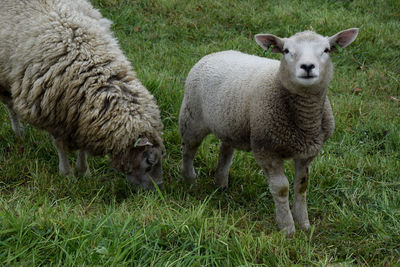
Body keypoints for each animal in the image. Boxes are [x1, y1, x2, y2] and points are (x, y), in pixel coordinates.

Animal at [0, 0, 164, 191]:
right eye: (149, 163)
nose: (158, 189)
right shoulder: (53, 112)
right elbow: (60, 145)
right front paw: (67, 174)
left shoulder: (80, 115)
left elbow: (82, 148)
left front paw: (84, 171)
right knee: (10, 105)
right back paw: (18, 131)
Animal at [180, 28, 358, 236]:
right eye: (286, 50)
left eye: (326, 50)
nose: (307, 66)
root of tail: (216, 53)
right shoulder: (266, 149)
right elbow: (281, 188)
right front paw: (287, 228)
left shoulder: (307, 152)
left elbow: (301, 186)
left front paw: (304, 224)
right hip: (191, 118)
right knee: (188, 151)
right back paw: (190, 181)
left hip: (231, 123)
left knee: (225, 150)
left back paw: (221, 183)